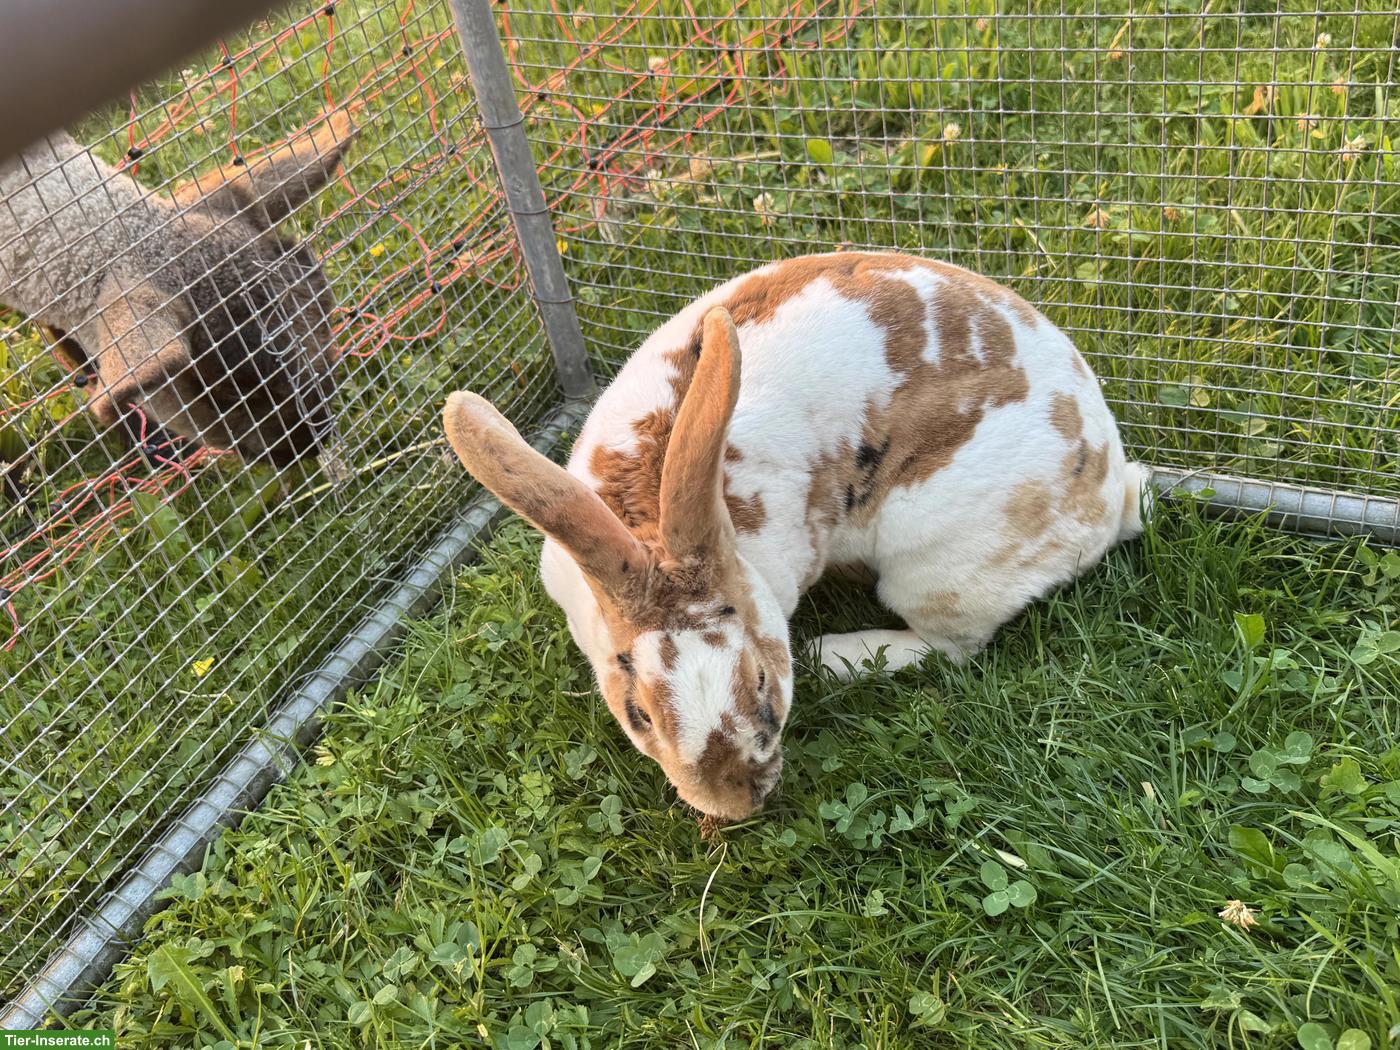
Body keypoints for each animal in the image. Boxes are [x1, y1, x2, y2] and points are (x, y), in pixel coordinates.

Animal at [443, 251, 1147, 822]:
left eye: (760, 681)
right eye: (639, 713)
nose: (735, 804)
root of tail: (1112, 493)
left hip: (937, 569)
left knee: (950, 647)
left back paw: (832, 654)